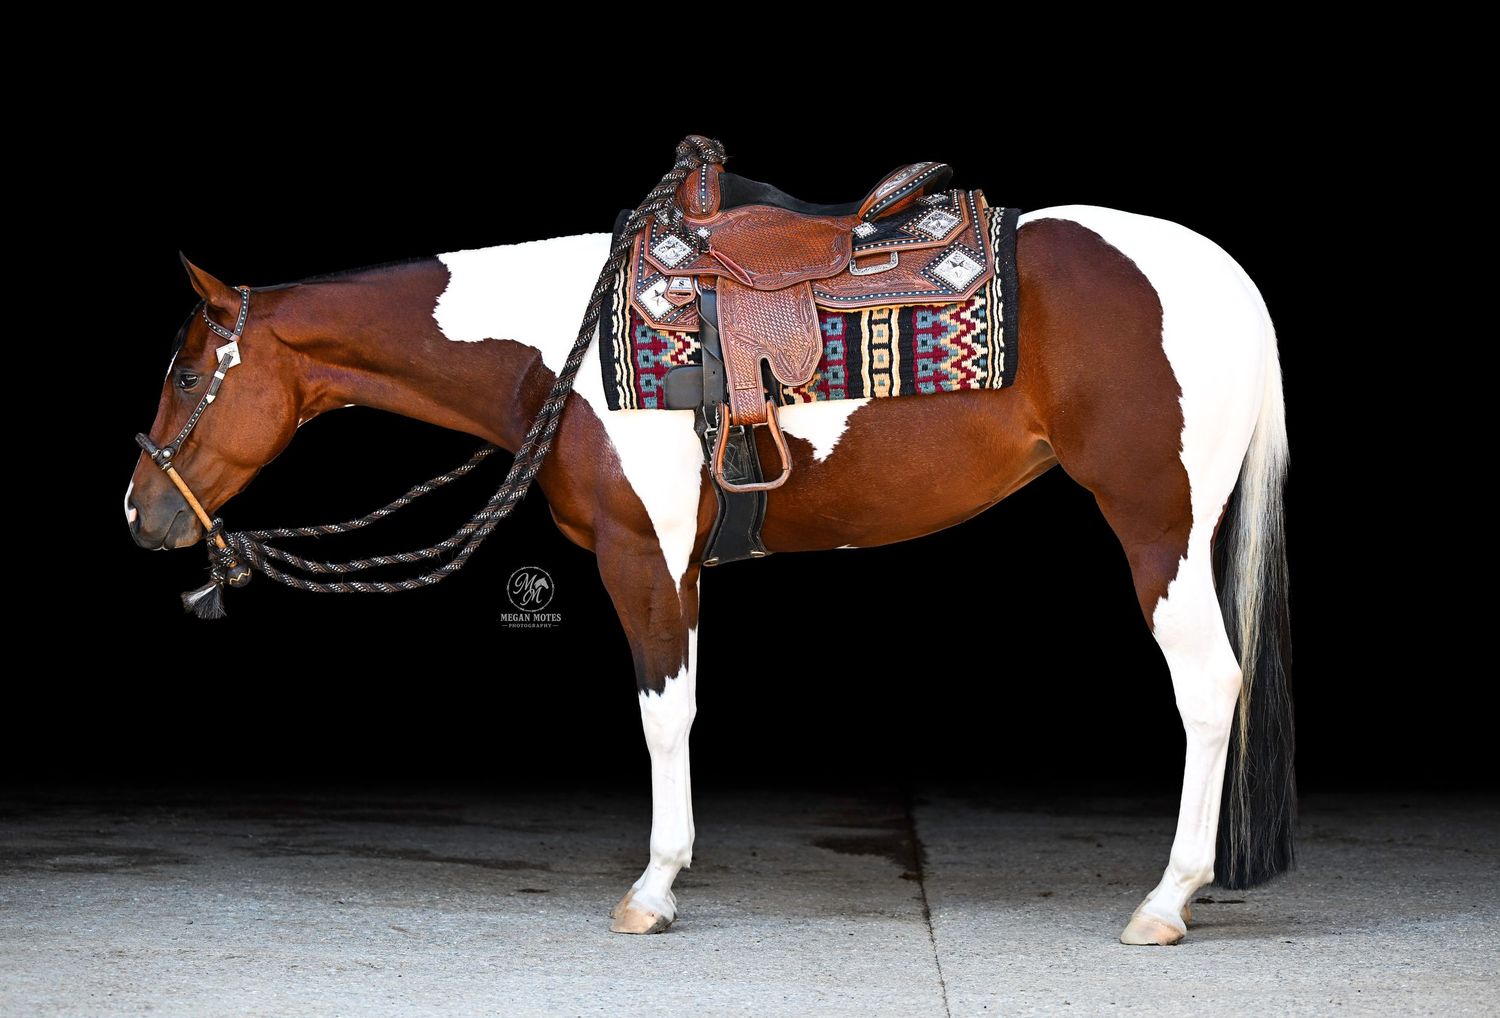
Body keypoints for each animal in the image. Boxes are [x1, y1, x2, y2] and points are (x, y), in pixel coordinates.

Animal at [126, 205, 1293, 945]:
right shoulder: (679, 563)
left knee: (1209, 689)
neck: (563, 350)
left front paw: (653, 887)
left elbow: (661, 716)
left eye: (185, 372)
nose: (140, 514)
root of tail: (1233, 279)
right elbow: (679, 710)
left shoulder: (643, 555)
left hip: (1160, 526)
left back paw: (1167, 900)